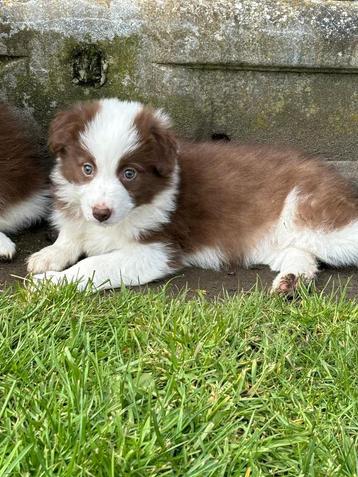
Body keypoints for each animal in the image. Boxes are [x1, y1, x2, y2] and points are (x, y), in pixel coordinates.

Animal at [26, 98, 358, 294]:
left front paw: (51, 283)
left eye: (129, 173)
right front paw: (47, 256)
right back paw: (291, 281)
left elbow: (96, 265)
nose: (101, 213)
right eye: (87, 168)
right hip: (280, 238)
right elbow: (71, 237)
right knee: (302, 254)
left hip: (315, 219)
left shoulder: (157, 250)